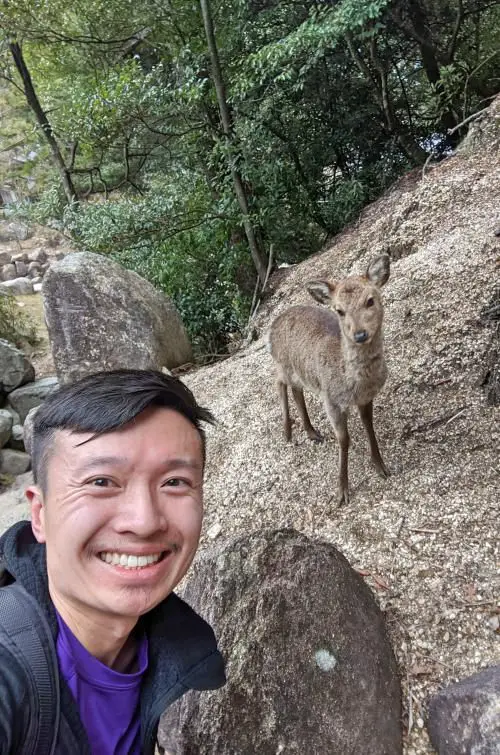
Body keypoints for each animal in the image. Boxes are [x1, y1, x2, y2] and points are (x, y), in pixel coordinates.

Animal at [268, 254, 392, 508]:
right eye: (339, 310)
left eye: (370, 300)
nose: (360, 334)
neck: (354, 383)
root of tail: (272, 327)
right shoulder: (331, 399)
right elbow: (344, 440)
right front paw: (341, 492)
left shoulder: (366, 398)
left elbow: (369, 425)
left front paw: (380, 466)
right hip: (282, 362)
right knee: (279, 383)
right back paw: (287, 432)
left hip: (300, 371)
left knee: (296, 390)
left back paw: (312, 432)